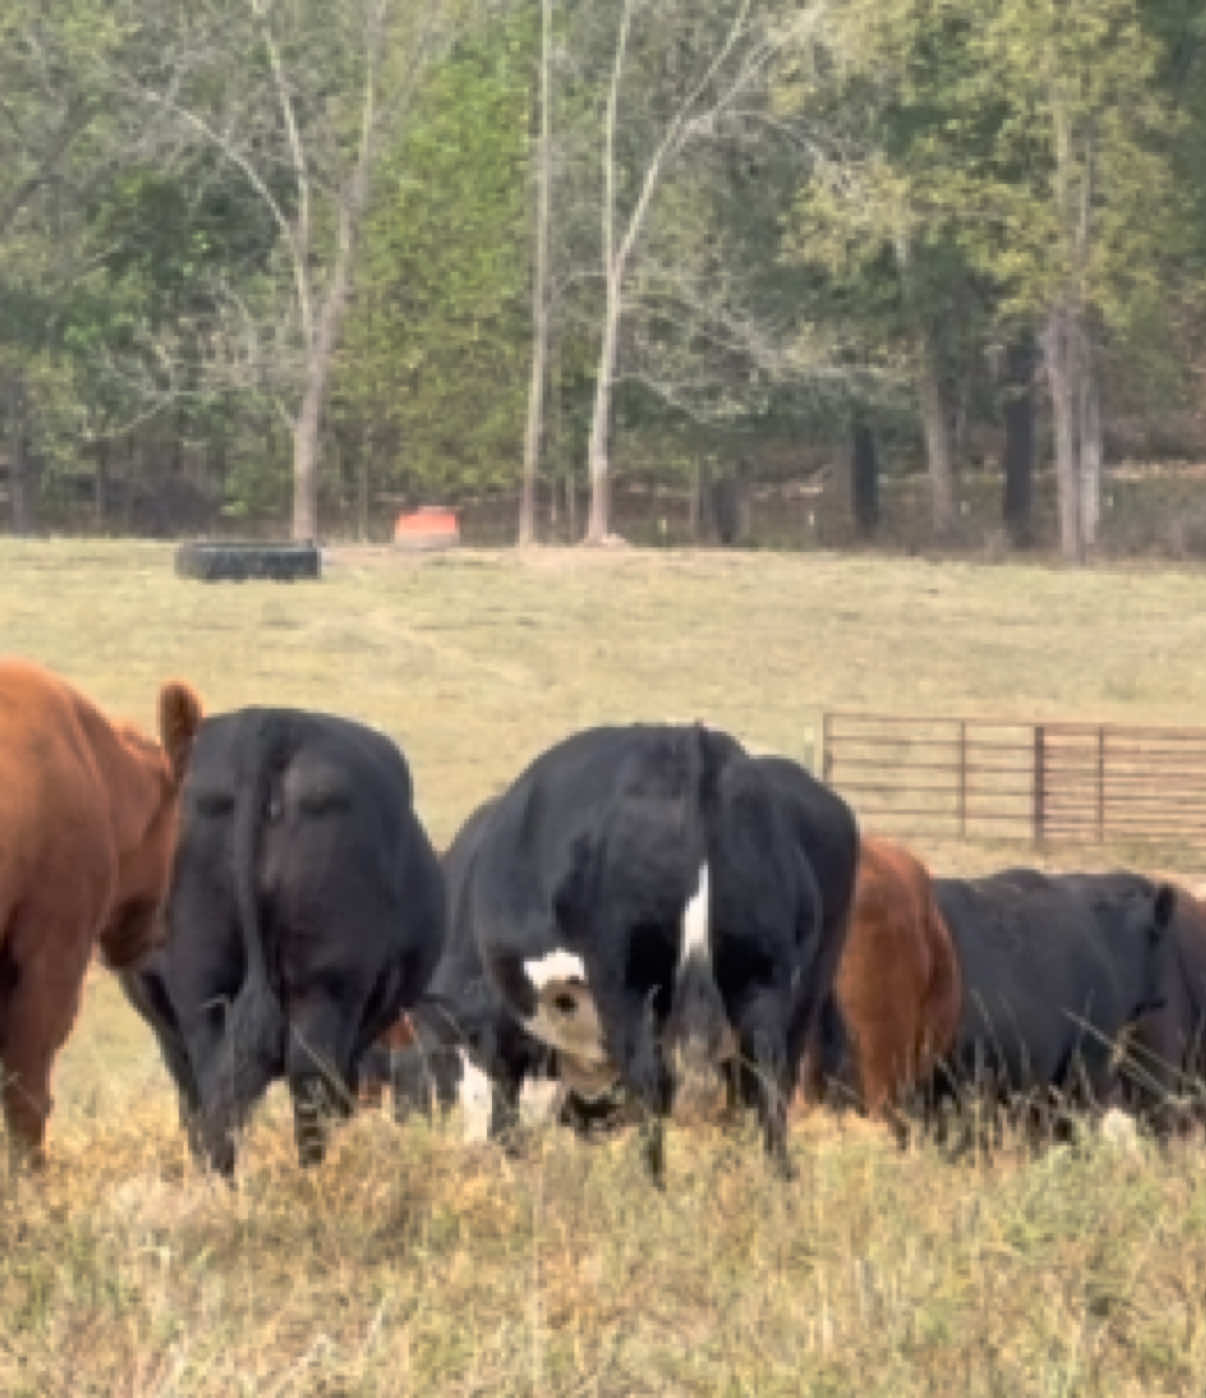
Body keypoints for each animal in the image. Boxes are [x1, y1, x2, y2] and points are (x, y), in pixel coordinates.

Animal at [460, 723, 841, 1183]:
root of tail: (690, 742)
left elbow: (505, 1093)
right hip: (765, 979)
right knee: (767, 1085)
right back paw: (775, 1185)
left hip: (628, 982)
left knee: (651, 1083)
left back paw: (649, 1185)